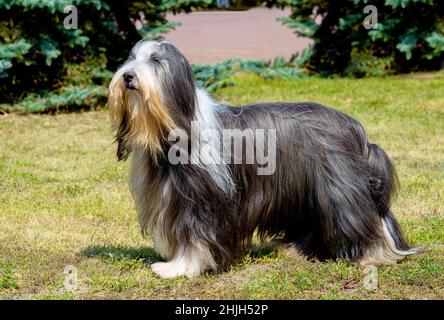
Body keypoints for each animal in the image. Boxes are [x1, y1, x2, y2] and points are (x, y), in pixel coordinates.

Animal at [108, 40, 420, 278]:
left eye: (155, 61)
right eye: (131, 58)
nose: (127, 76)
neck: (175, 125)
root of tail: (355, 127)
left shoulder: (200, 201)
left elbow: (193, 237)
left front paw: (177, 268)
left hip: (339, 187)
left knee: (362, 217)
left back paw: (373, 255)